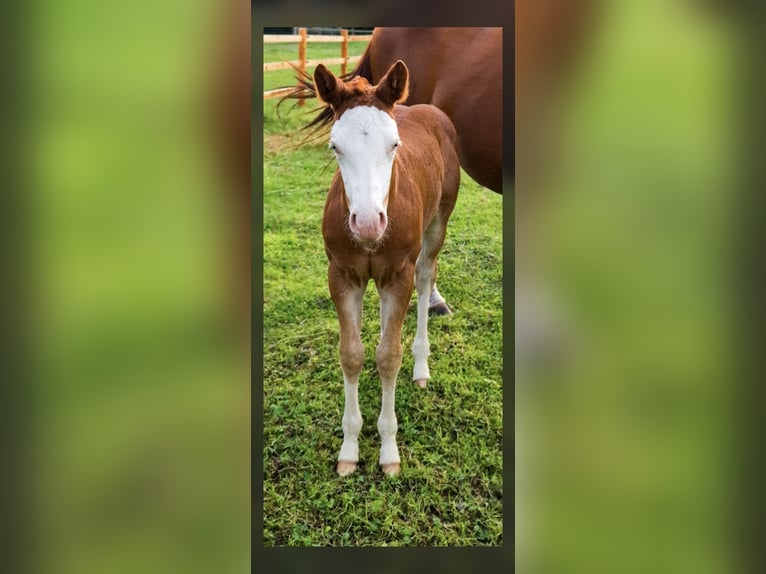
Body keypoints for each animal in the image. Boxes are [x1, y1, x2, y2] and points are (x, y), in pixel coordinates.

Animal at [312, 60, 460, 476]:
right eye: (335, 146)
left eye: (394, 144)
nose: (366, 223)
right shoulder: (342, 275)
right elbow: (352, 353)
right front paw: (349, 449)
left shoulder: (398, 275)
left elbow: (389, 357)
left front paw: (389, 451)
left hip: (437, 223)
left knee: (427, 278)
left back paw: (422, 366)